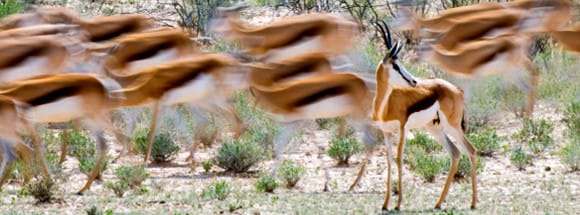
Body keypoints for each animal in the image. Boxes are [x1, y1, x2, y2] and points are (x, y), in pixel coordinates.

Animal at [348, 21, 476, 210]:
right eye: (395, 66)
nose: (414, 81)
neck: (386, 105)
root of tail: (457, 89)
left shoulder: (402, 129)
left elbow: (399, 159)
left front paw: (398, 204)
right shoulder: (386, 132)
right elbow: (389, 161)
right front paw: (385, 204)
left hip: (453, 126)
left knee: (471, 150)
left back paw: (473, 203)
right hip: (435, 128)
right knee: (455, 153)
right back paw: (438, 203)